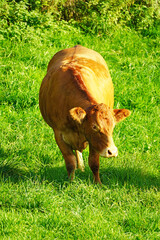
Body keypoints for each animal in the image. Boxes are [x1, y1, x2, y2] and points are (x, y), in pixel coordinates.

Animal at [39, 45, 131, 184]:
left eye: (113, 126)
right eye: (94, 126)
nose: (112, 151)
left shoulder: (93, 141)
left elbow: (94, 163)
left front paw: (98, 184)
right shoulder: (58, 134)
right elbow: (70, 162)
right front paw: (70, 183)